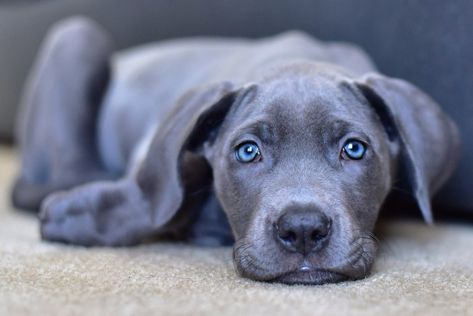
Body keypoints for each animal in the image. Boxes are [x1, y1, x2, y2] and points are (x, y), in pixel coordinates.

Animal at [11, 16, 460, 284]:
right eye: (247, 152)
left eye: (353, 149)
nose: (302, 230)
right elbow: (158, 194)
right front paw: (76, 214)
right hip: (78, 35)